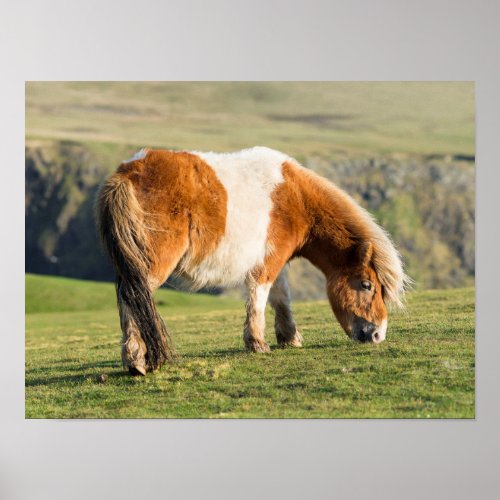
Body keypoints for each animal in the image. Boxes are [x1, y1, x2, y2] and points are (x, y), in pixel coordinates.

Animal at [96, 147, 406, 376]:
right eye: (367, 285)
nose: (377, 335)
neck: (295, 198)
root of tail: (128, 172)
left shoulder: (277, 261)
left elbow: (281, 298)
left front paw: (290, 338)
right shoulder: (269, 262)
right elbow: (260, 296)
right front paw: (258, 343)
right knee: (133, 296)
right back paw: (136, 360)